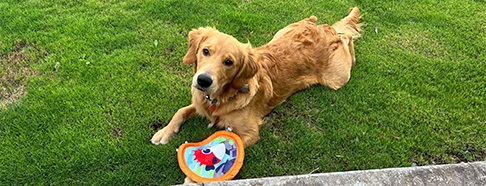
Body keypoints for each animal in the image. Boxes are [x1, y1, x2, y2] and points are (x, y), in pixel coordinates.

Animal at [152, 8, 360, 149]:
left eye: (229, 62)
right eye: (205, 51)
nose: (203, 80)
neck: (223, 96)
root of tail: (328, 30)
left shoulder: (251, 133)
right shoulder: (200, 102)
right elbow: (180, 111)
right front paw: (164, 132)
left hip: (338, 77)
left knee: (347, 39)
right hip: (282, 31)